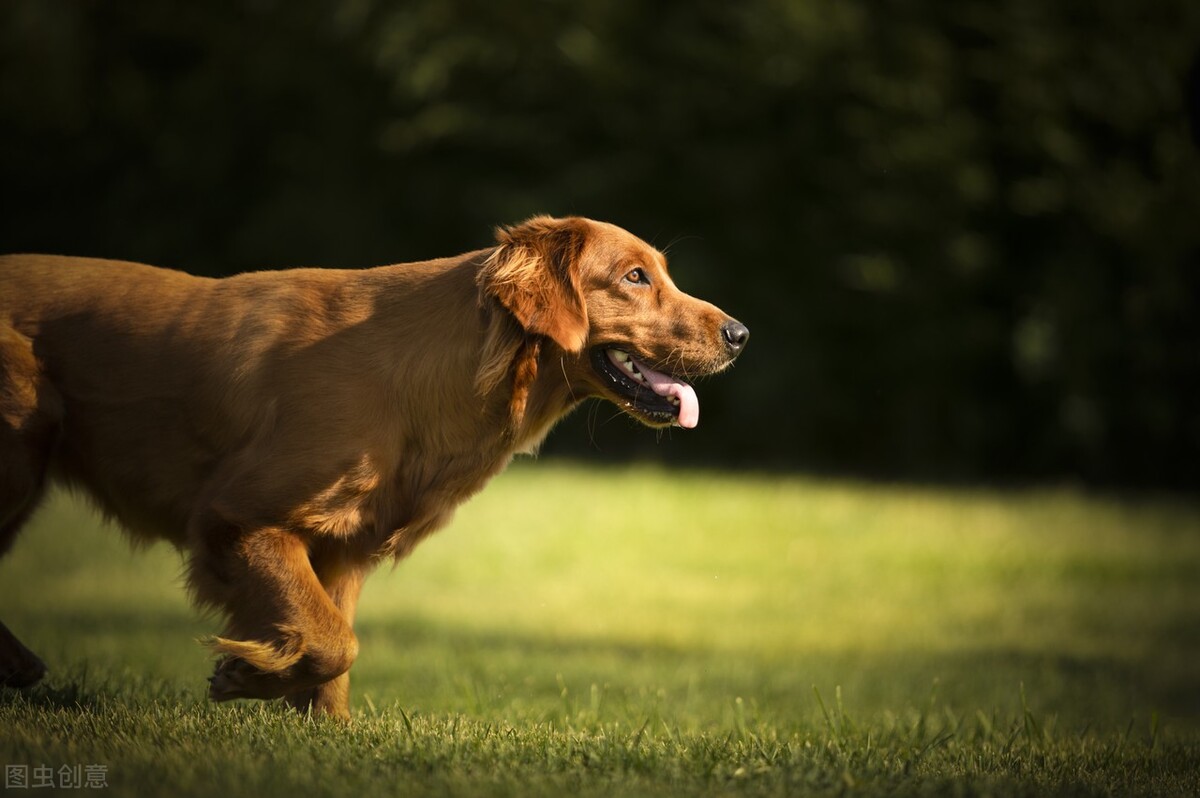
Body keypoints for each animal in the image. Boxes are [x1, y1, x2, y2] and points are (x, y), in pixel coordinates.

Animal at [0, 214, 744, 720]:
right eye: (634, 277)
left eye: (662, 273)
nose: (740, 334)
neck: (420, 374)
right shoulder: (235, 519)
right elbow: (335, 642)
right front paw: (246, 677)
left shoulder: (346, 543)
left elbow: (335, 644)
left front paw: (319, 727)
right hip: (22, 444)